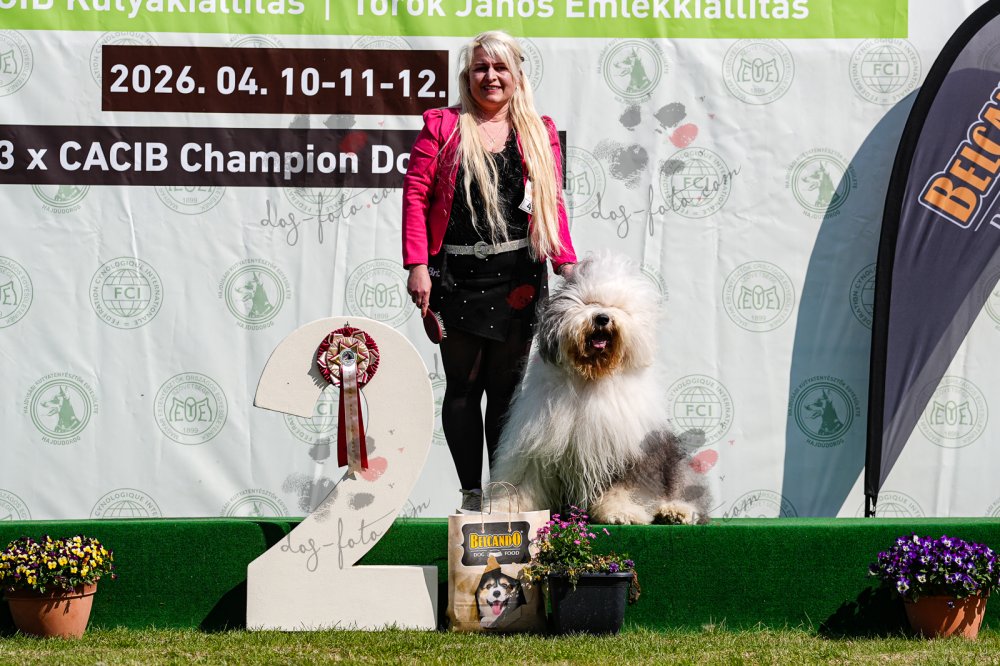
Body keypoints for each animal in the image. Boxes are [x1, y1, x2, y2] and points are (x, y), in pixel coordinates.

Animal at [492, 254, 711, 525]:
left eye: (618, 307)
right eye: (587, 302)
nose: (602, 318)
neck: (591, 378)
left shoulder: (633, 452)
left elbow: (627, 488)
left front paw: (621, 512)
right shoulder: (535, 446)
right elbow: (522, 481)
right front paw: (505, 509)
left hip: (675, 463)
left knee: (685, 492)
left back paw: (675, 512)